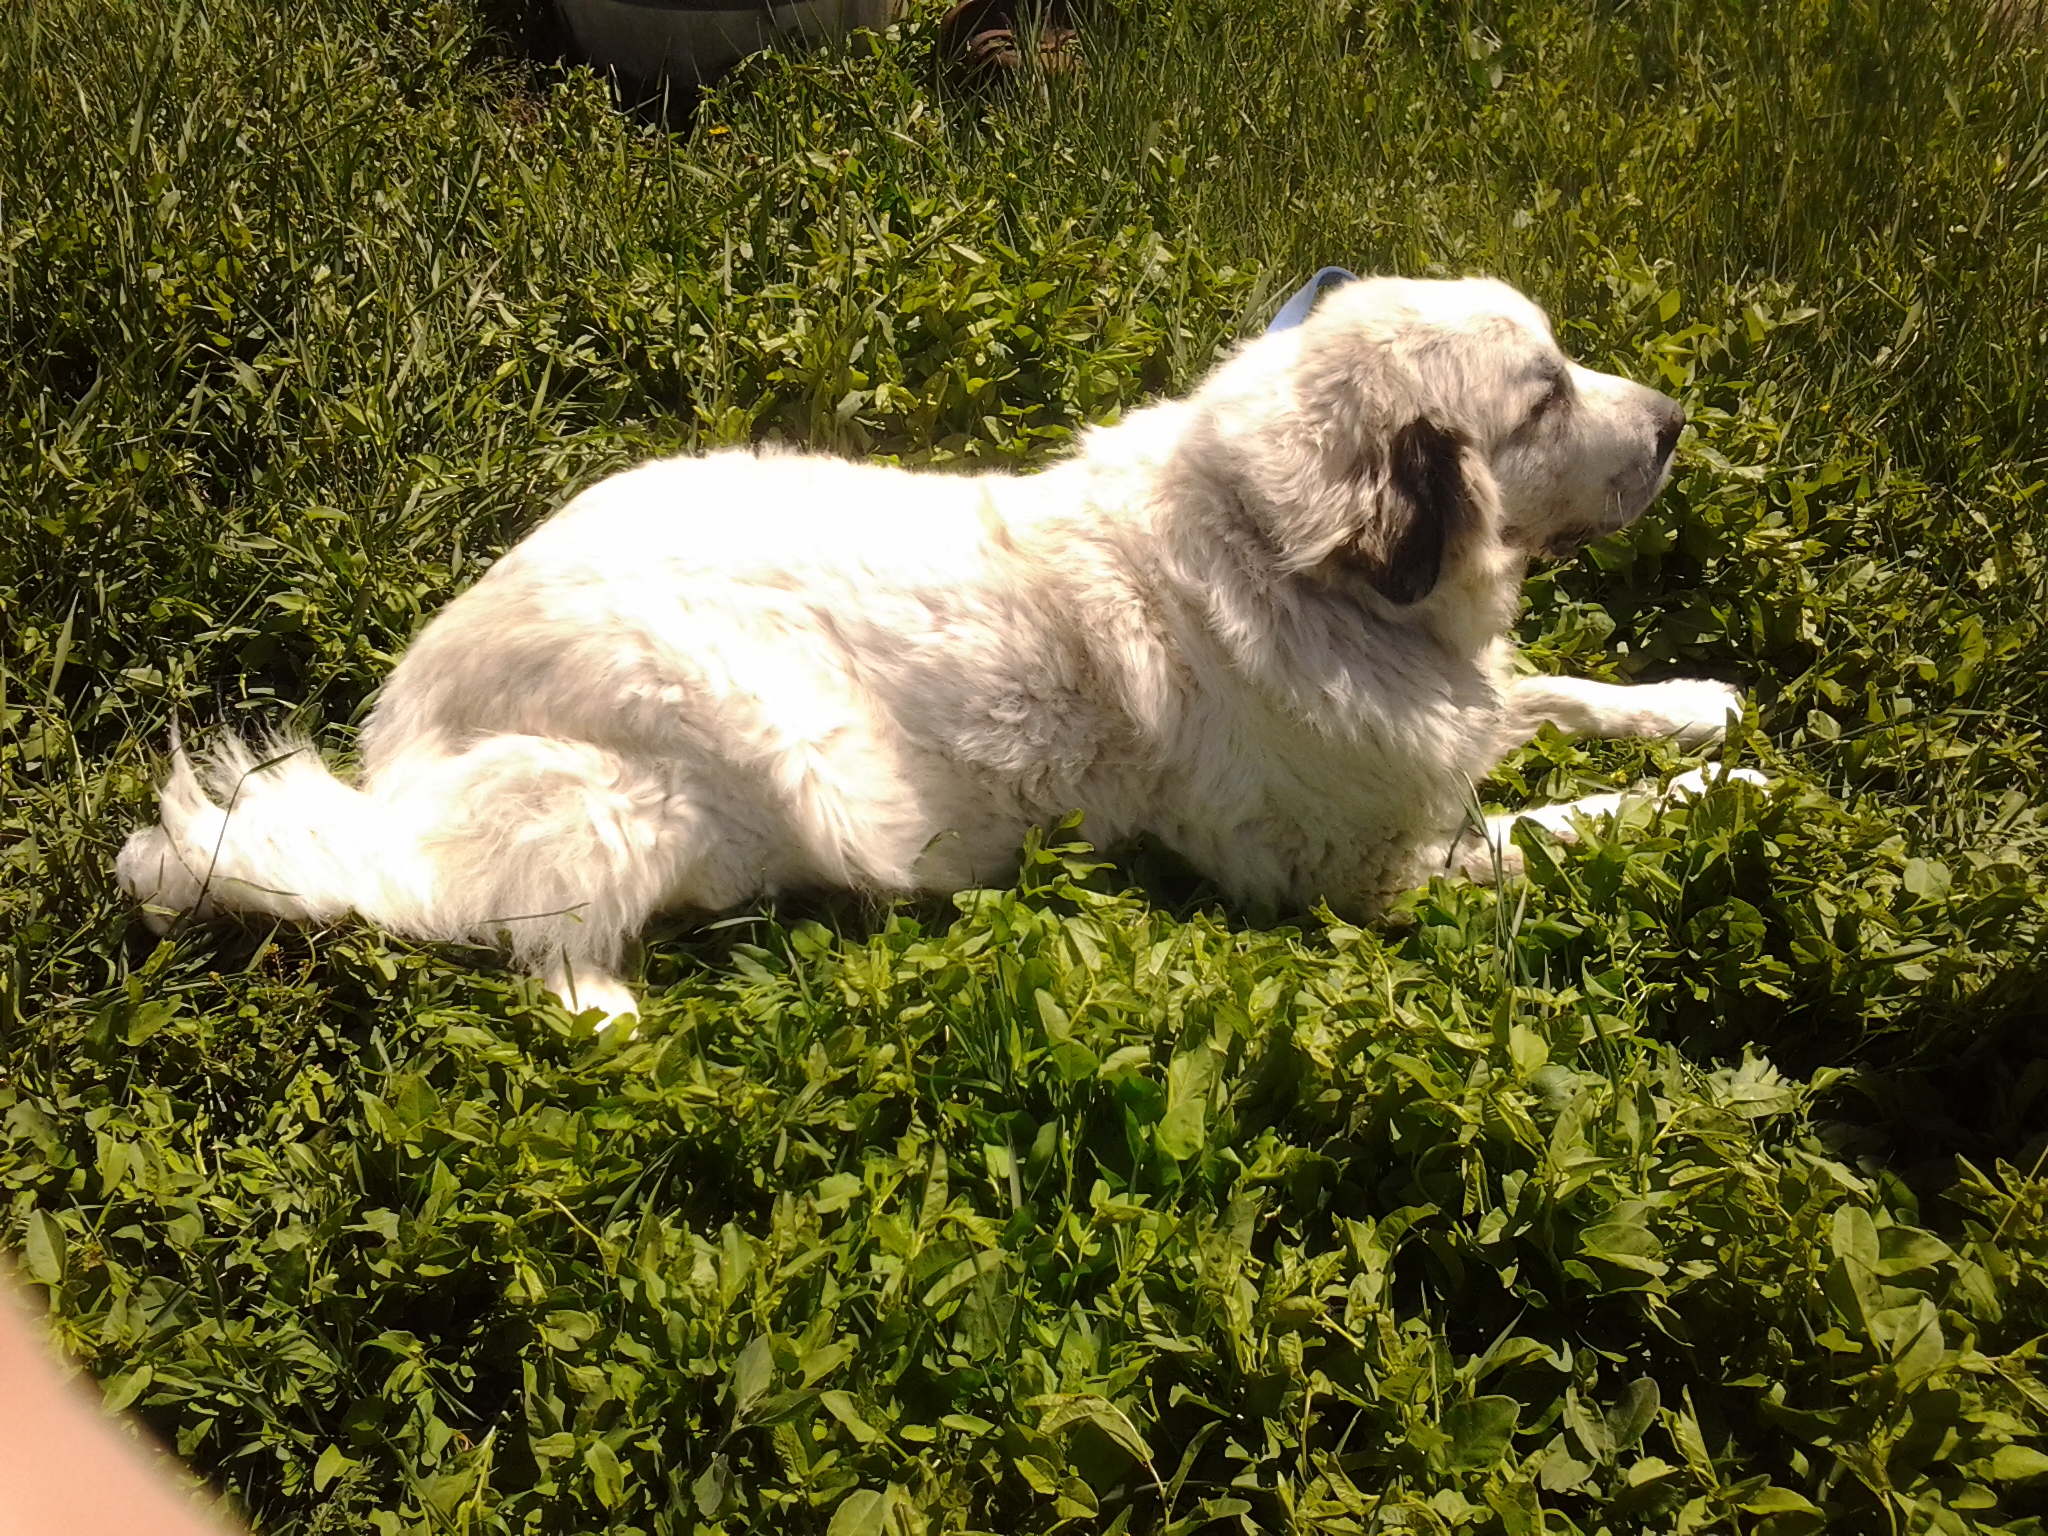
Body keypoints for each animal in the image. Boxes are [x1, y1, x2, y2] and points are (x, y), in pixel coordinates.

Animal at [118, 275, 1757, 1022]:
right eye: (1542, 400)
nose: (1680, 423)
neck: (1288, 560)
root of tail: (403, 733)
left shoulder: (1455, 720)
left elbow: (1559, 699)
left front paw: (1694, 704)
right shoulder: (1378, 875)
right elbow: (1568, 822)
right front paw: (1729, 795)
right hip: (695, 770)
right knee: (527, 934)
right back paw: (628, 1022)